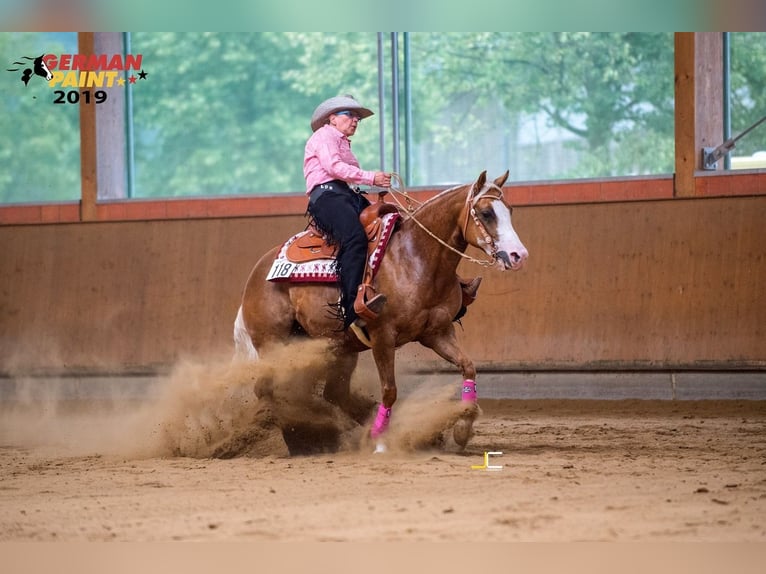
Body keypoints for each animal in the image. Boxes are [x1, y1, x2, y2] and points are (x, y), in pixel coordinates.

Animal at [236, 171, 528, 454]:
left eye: (510, 210)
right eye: (487, 213)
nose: (518, 255)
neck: (416, 257)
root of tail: (256, 274)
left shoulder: (437, 333)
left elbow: (468, 367)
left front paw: (462, 430)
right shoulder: (382, 336)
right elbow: (390, 390)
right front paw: (379, 441)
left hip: (333, 347)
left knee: (331, 393)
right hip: (275, 343)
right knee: (270, 389)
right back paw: (302, 440)